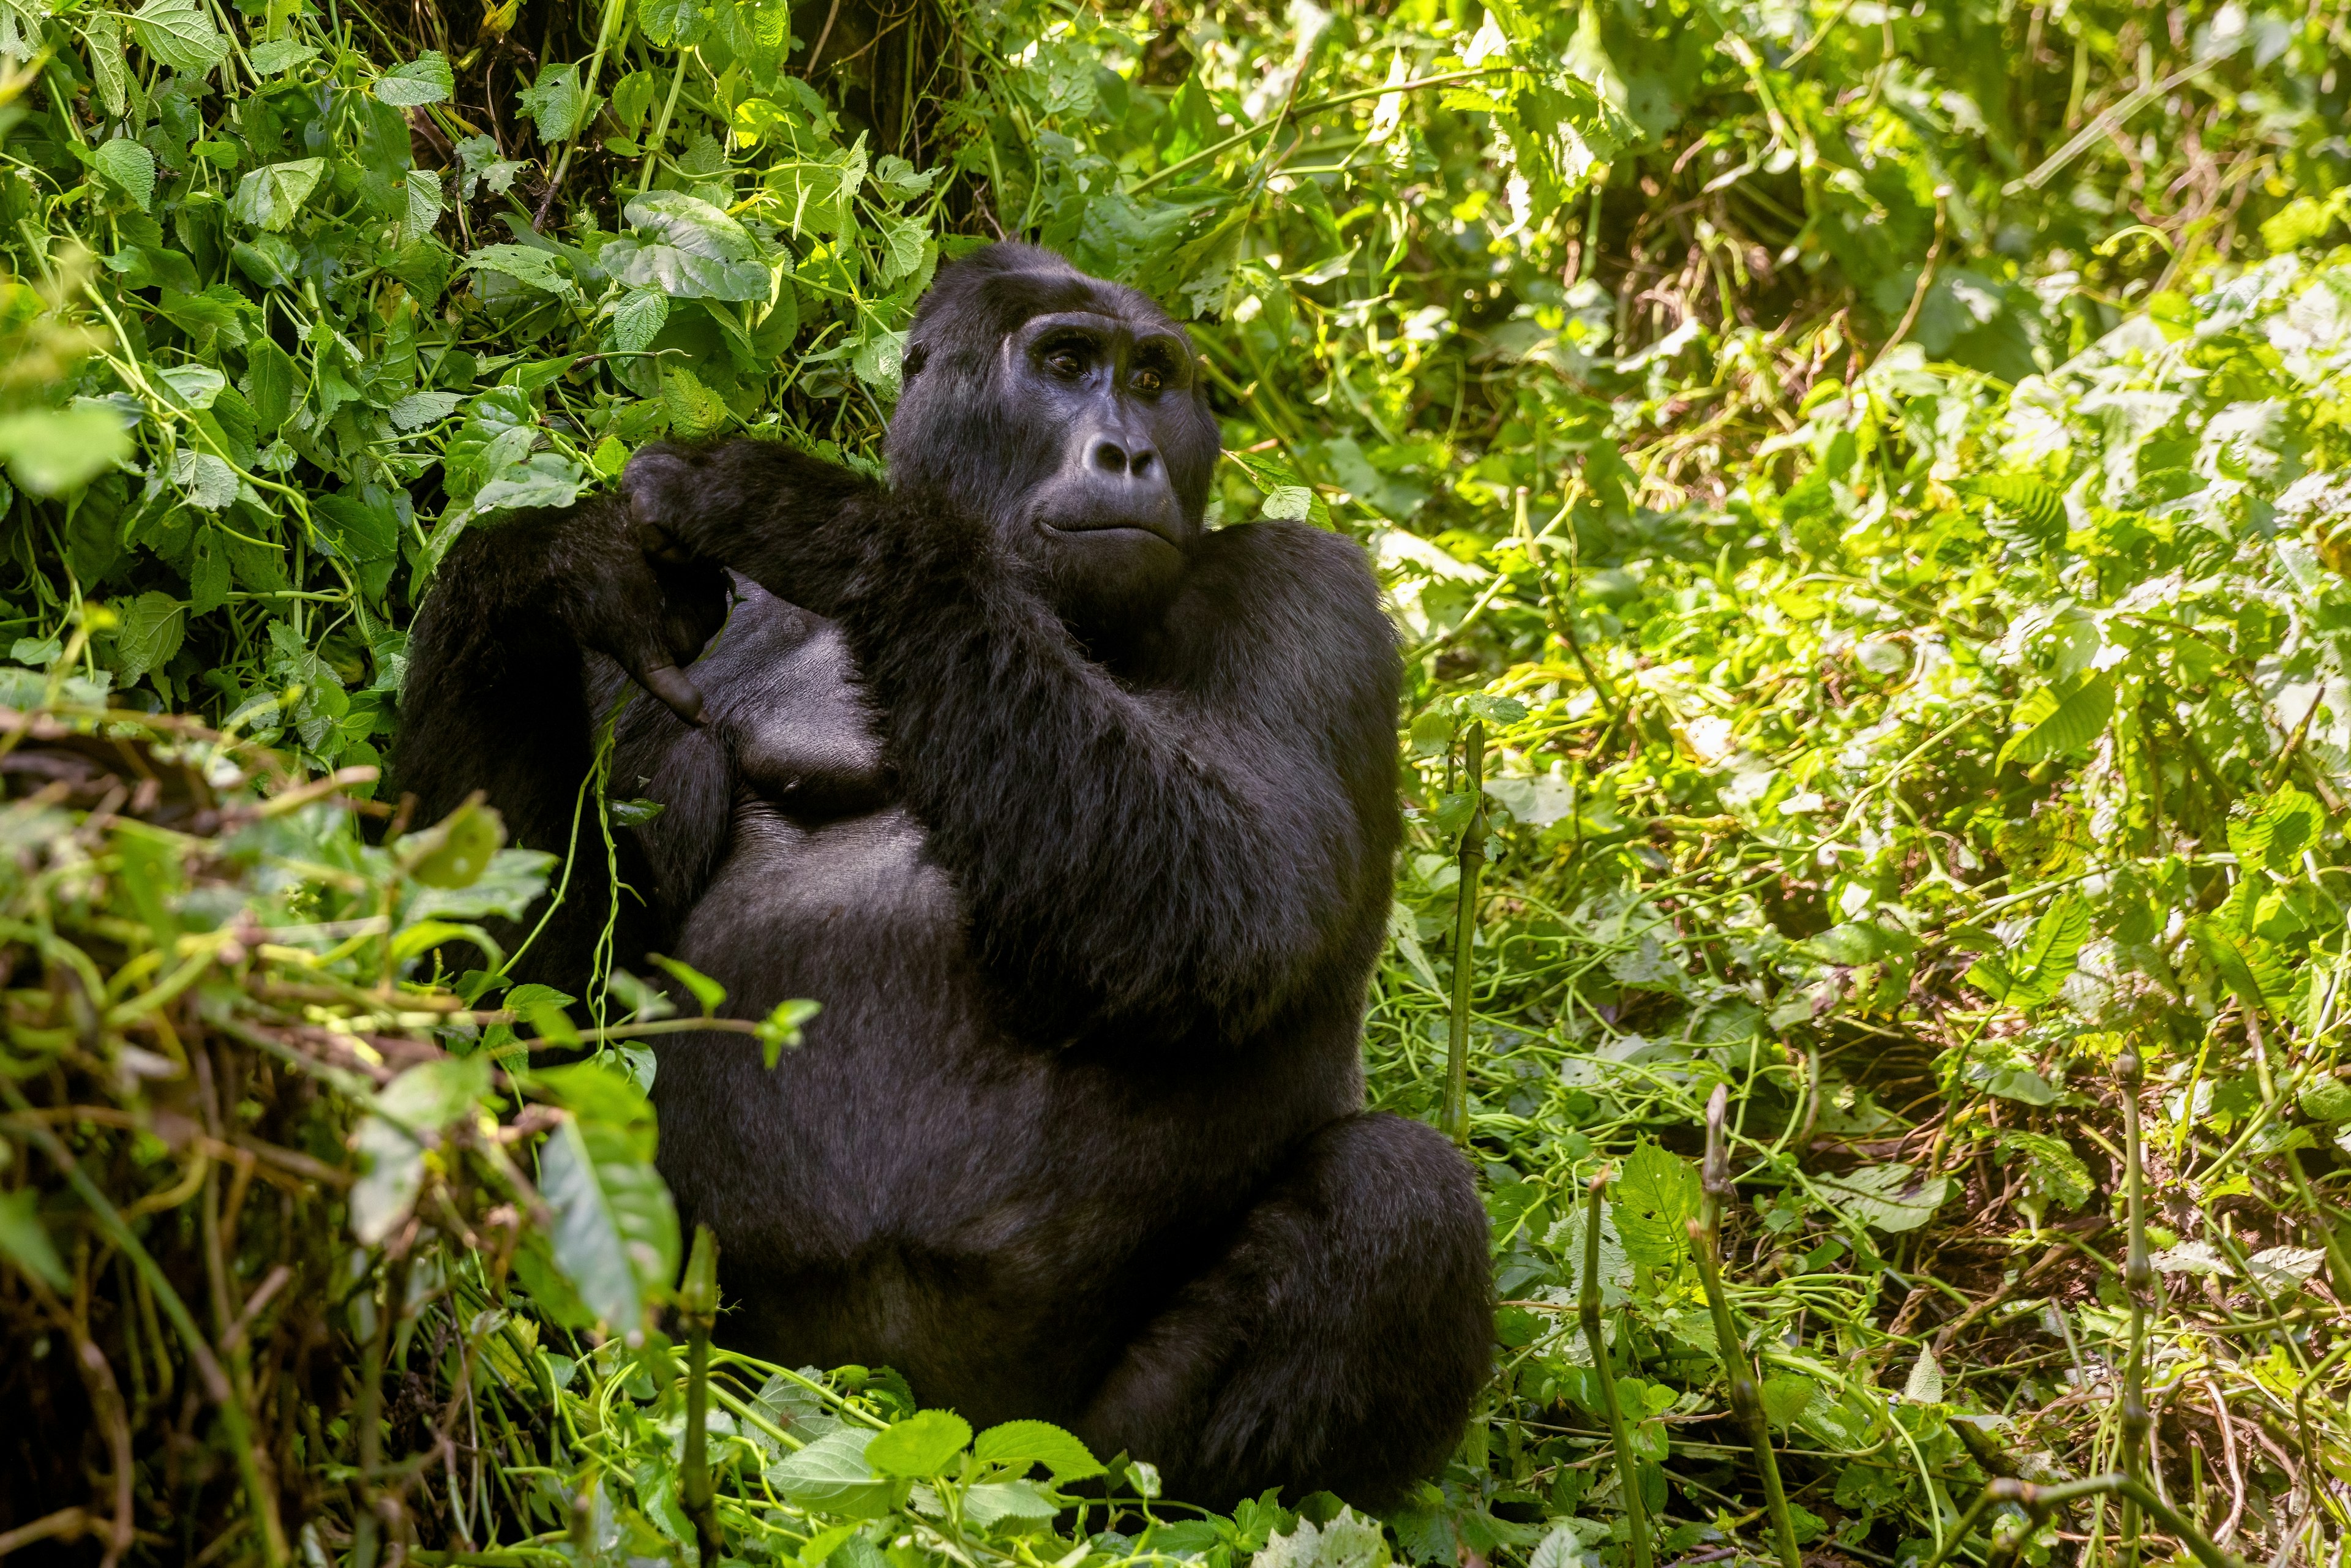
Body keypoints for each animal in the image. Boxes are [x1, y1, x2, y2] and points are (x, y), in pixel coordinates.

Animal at [392, 239, 1476, 1504]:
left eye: (1155, 379)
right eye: (1066, 365)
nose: (1129, 452)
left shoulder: (1313, 594)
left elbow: (1244, 899)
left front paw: (835, 524)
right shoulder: (699, 646)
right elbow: (539, 980)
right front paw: (538, 565)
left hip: (1046, 1448)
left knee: (1396, 1197)